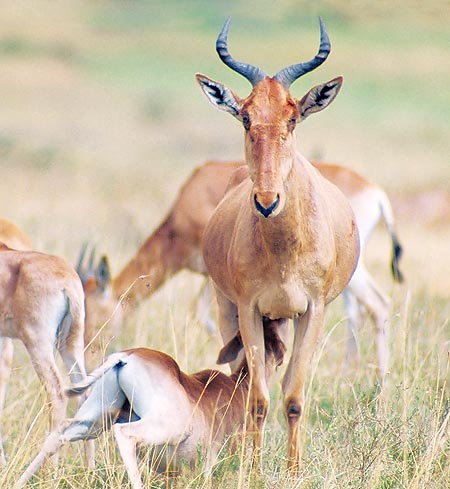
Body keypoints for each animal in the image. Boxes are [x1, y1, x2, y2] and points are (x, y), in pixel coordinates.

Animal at [16, 320, 288, 488]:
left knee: (58, 434)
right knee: (124, 434)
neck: (235, 386)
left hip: (95, 420)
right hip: (163, 426)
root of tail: (125, 356)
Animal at [79, 158, 402, 372]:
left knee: (378, 304)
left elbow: (202, 314)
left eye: (94, 317)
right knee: (357, 311)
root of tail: (375, 193)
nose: (89, 358)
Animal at [195, 17, 360, 470]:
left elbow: (293, 397)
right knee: (242, 377)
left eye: (293, 117)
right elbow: (257, 399)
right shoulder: (249, 308)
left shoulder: (313, 310)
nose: (267, 201)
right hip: (229, 308)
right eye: (246, 117)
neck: (284, 251)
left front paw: (294, 469)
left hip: (283, 319)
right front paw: (251, 470)